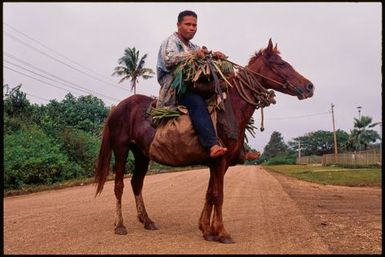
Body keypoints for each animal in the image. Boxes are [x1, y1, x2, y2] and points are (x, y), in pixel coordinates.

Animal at [94, 39, 314, 243]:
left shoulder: (220, 162)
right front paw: (222, 232)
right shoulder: (219, 160)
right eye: (281, 64)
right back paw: (120, 225)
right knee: (119, 185)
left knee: (137, 183)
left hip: (141, 154)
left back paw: (147, 220)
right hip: (121, 149)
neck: (231, 108)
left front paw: (207, 230)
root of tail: (118, 107)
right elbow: (218, 195)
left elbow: (209, 193)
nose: (309, 86)